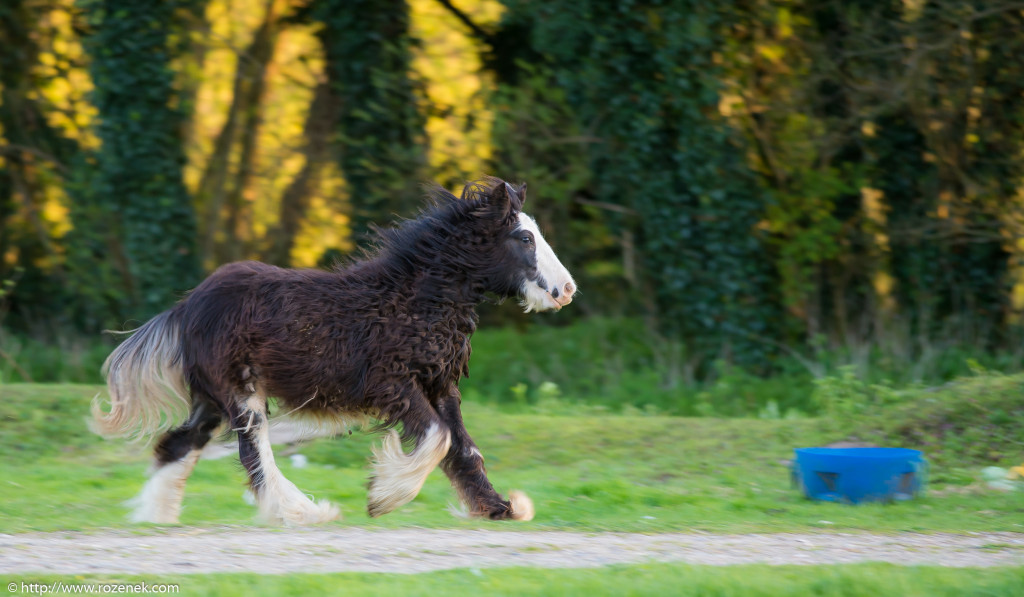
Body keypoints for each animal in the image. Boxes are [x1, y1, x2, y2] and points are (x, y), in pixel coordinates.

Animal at [93, 180, 577, 524]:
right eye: (524, 238)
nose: (567, 290)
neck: (413, 300)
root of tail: (186, 306)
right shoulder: (392, 383)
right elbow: (438, 440)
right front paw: (382, 496)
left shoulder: (440, 385)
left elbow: (464, 449)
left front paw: (501, 508)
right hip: (240, 392)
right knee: (253, 453)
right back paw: (304, 512)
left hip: (211, 399)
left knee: (177, 444)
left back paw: (157, 518)